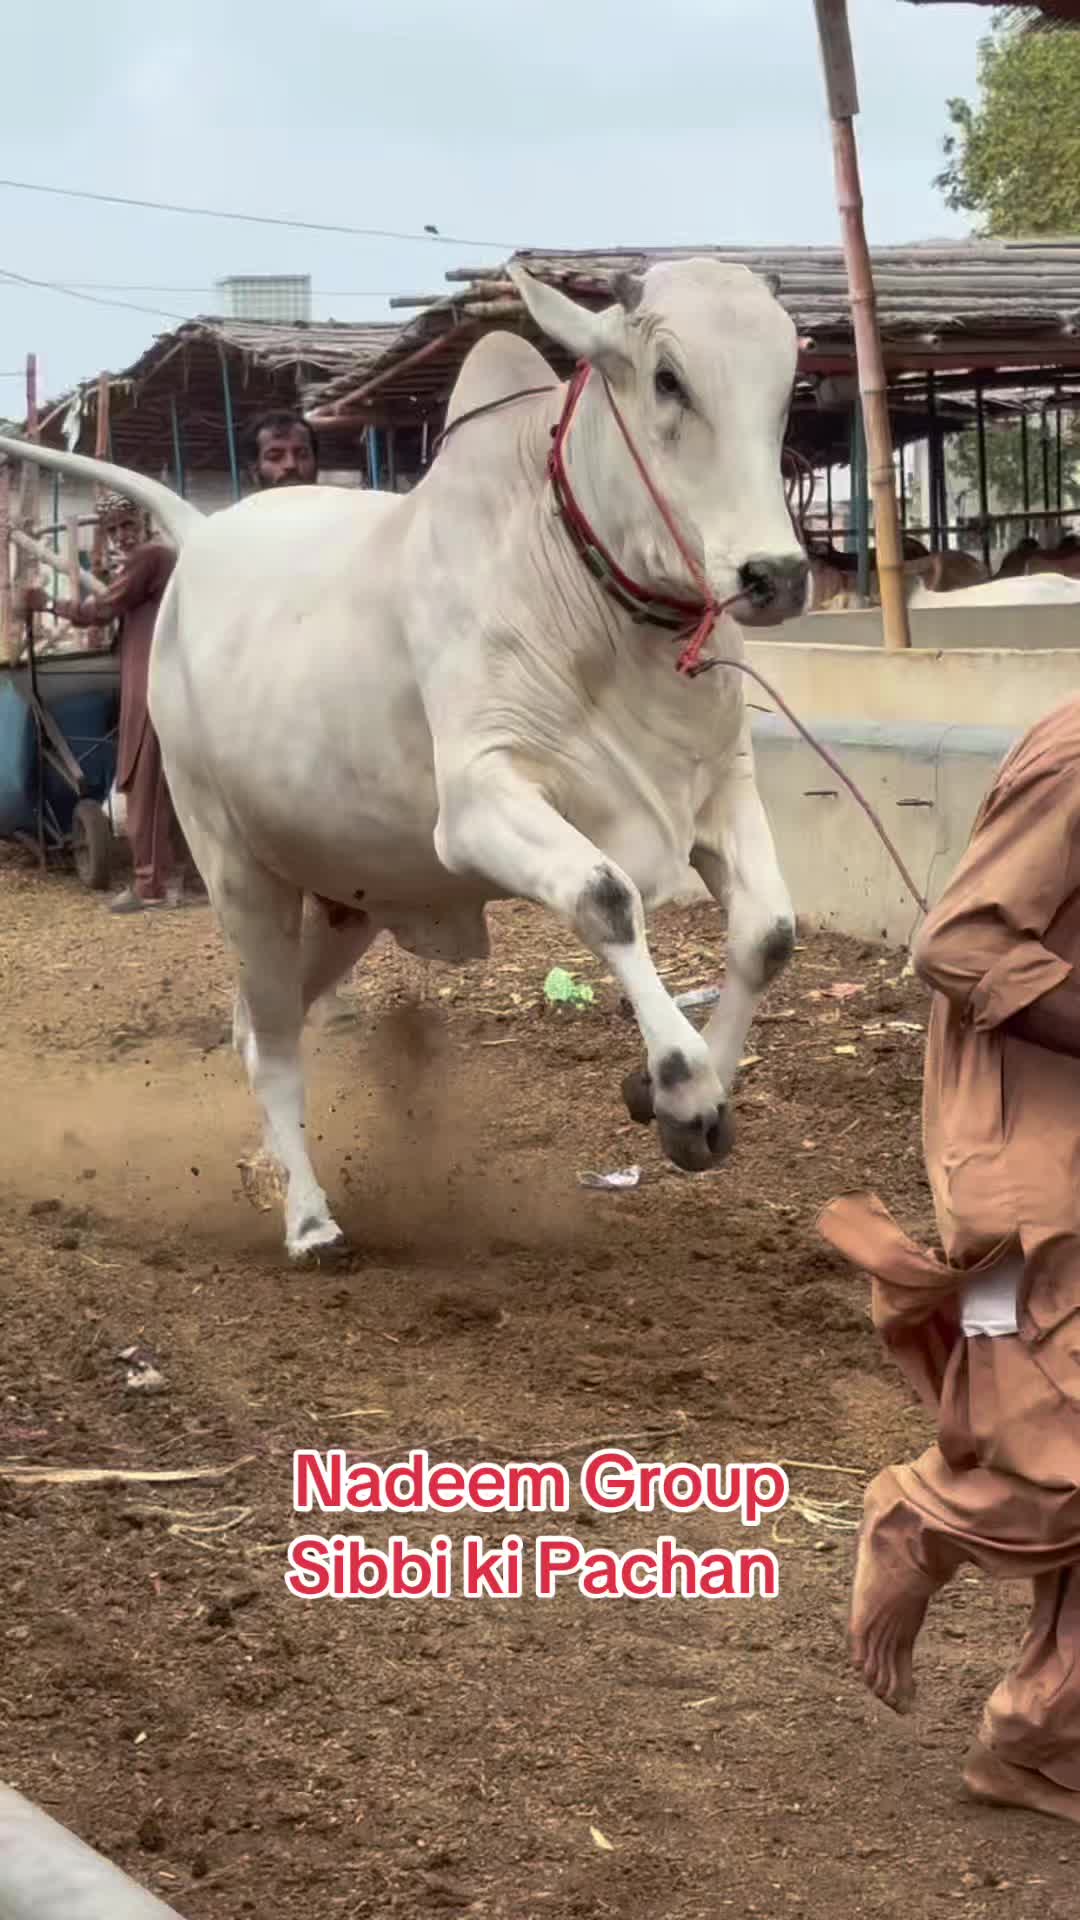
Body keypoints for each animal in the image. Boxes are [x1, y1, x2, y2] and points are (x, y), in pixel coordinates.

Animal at [0, 259, 808, 1264]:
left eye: (788, 381)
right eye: (669, 380)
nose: (776, 575)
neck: (594, 595)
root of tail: (201, 535)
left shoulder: (721, 786)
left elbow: (769, 932)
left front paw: (681, 1097)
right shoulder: (482, 802)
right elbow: (608, 897)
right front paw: (684, 1089)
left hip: (346, 899)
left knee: (255, 1027)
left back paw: (270, 1174)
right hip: (233, 866)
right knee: (273, 1042)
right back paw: (308, 1219)